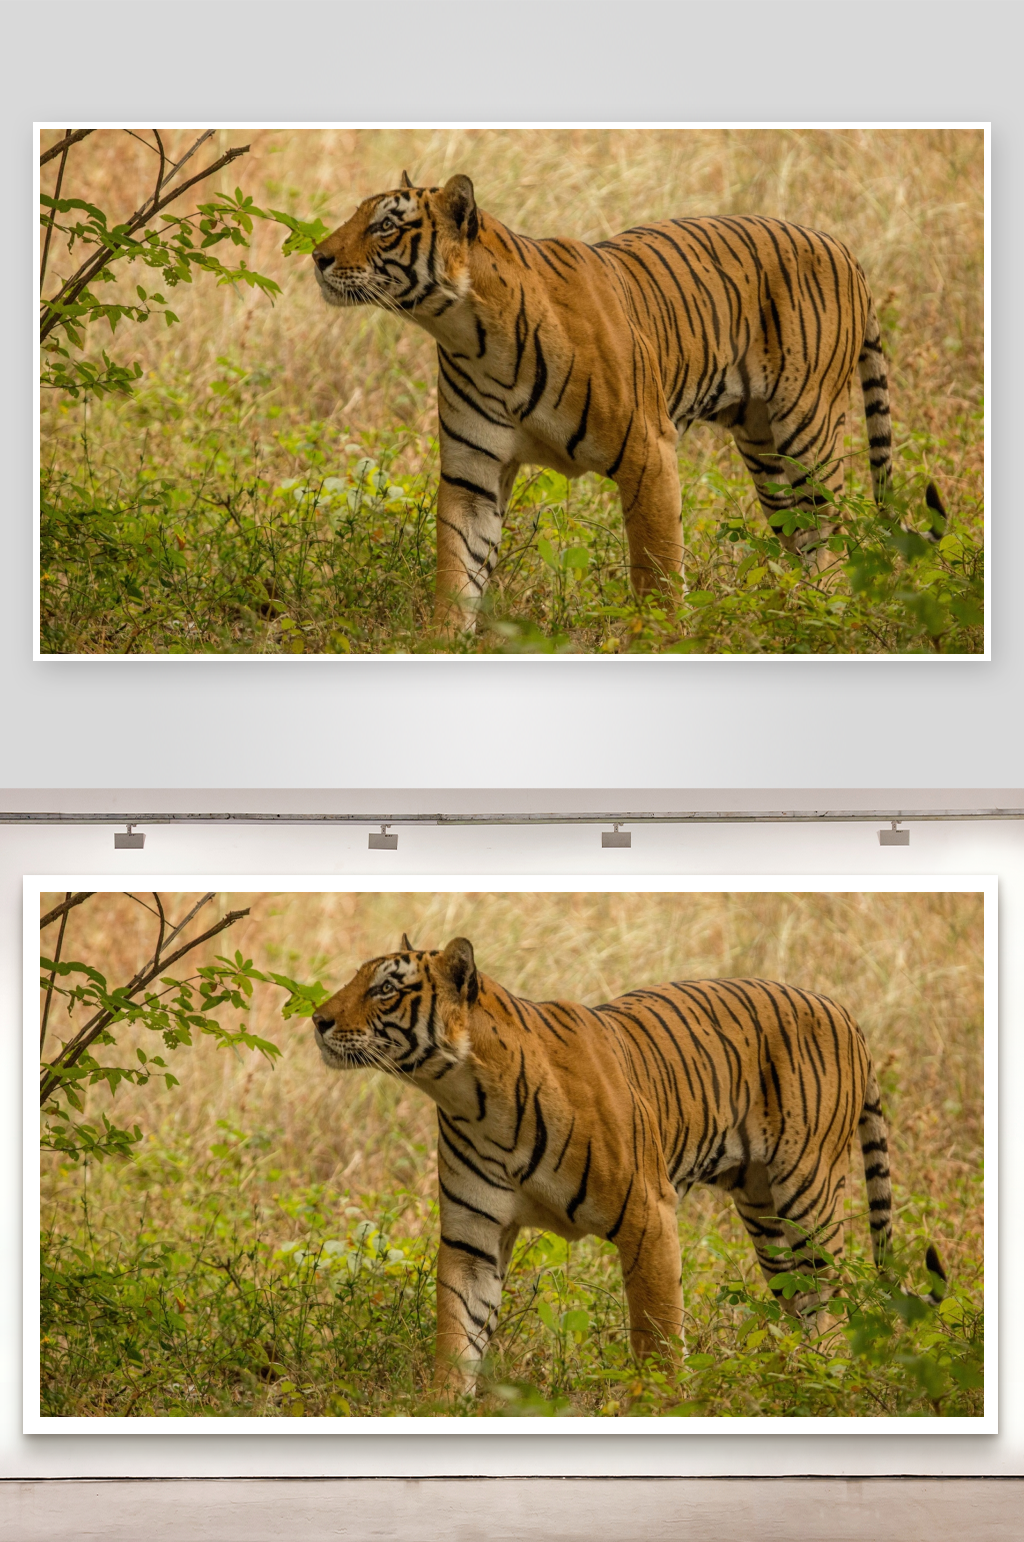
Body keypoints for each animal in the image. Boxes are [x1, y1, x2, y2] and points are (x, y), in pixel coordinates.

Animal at [312, 172, 946, 631]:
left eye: (385, 227)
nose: (317, 256)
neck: (468, 331)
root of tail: (841, 246)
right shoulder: (473, 473)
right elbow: (458, 566)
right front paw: (444, 641)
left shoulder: (649, 452)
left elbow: (657, 568)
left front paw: (662, 640)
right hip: (767, 452)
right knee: (801, 536)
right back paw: (795, 615)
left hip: (807, 433)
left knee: (832, 536)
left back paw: (826, 617)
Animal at [312, 934, 943, 1393]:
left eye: (385, 990)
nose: (317, 1019)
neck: (468, 1094)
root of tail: (841, 1008)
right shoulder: (473, 1236)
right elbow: (458, 1329)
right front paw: (443, 1407)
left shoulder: (648, 1215)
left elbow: (657, 1330)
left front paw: (663, 1405)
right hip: (766, 1214)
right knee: (799, 1299)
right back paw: (794, 1378)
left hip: (808, 1195)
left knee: (831, 1298)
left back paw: (826, 1380)